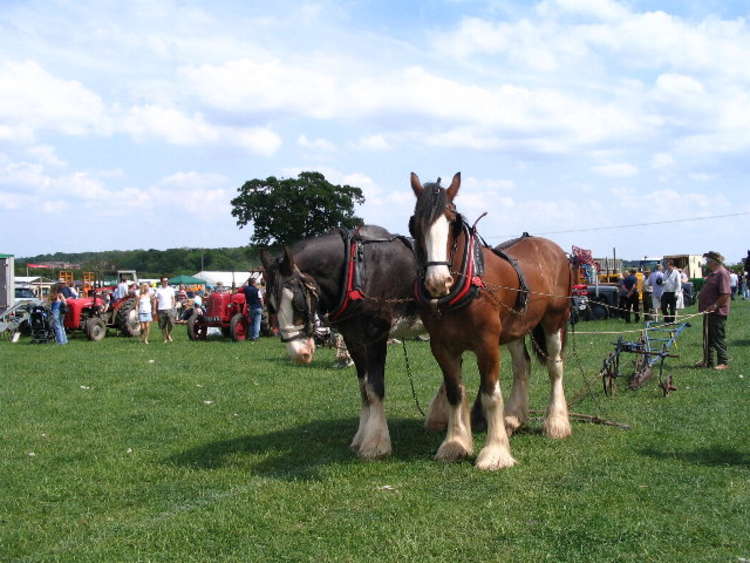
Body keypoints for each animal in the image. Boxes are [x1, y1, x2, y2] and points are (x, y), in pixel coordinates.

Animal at [408, 172, 572, 472]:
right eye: (414, 224)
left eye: (453, 222)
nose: (438, 281)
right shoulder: (442, 346)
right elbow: (455, 392)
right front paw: (455, 443)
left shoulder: (487, 344)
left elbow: (490, 394)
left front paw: (495, 452)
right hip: (516, 327)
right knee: (522, 367)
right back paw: (514, 417)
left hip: (555, 319)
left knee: (555, 367)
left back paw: (556, 423)